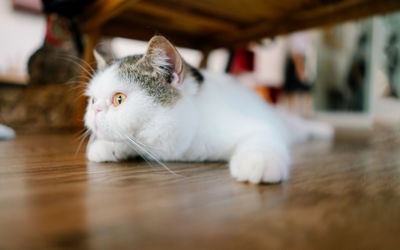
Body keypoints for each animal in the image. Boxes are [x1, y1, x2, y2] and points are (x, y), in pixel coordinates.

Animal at [83, 35, 332, 184]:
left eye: (119, 99)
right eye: (93, 100)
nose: (95, 111)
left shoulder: (257, 125)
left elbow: (262, 137)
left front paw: (259, 160)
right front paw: (108, 146)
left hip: (286, 123)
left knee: (299, 125)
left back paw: (324, 129)